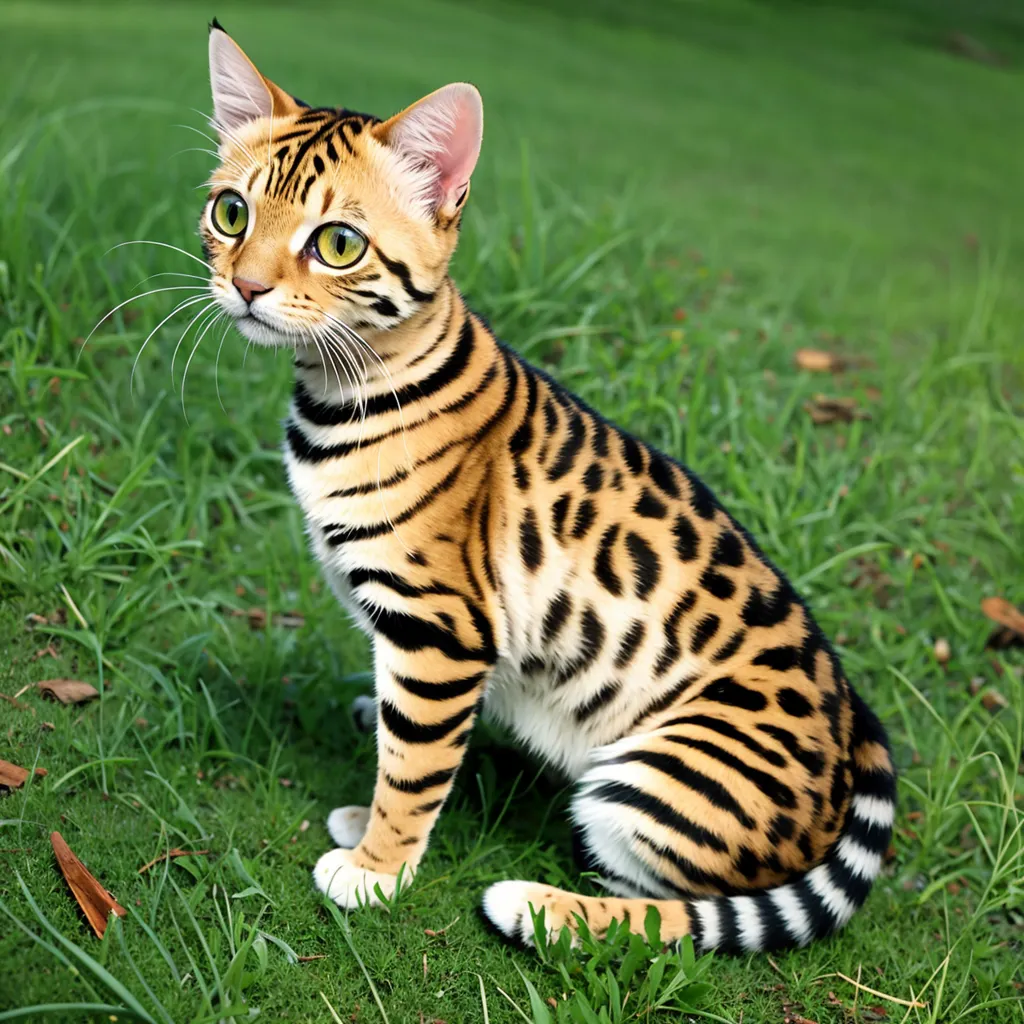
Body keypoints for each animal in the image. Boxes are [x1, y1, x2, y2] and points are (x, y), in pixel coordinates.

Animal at [193, 22, 897, 950]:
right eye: (231, 214)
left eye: (338, 243)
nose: (245, 286)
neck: (337, 386)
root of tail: (850, 746)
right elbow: (404, 744)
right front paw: (370, 814)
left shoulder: (441, 629)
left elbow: (413, 764)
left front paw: (377, 870)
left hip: (650, 783)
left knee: (674, 914)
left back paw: (532, 904)